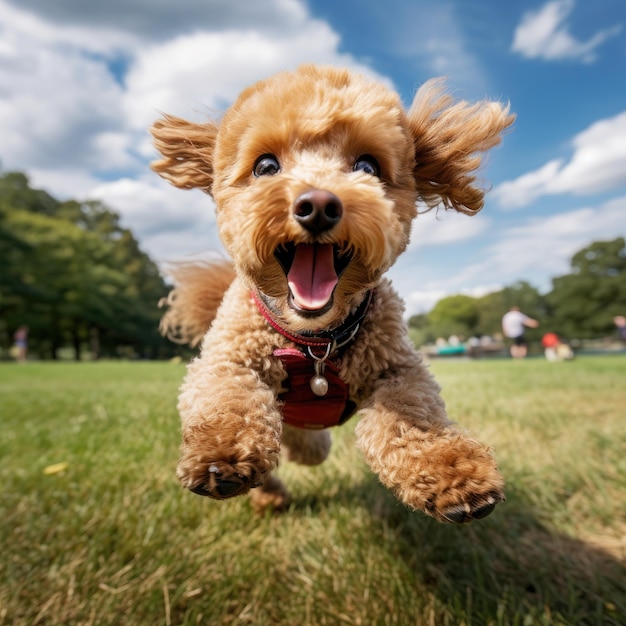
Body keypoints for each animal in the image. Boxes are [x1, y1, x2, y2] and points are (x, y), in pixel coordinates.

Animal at [151, 64, 512, 520]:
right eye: (265, 165)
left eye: (368, 166)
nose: (319, 205)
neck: (314, 343)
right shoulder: (229, 355)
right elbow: (228, 396)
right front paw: (222, 455)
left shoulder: (396, 365)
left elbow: (411, 411)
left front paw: (450, 471)